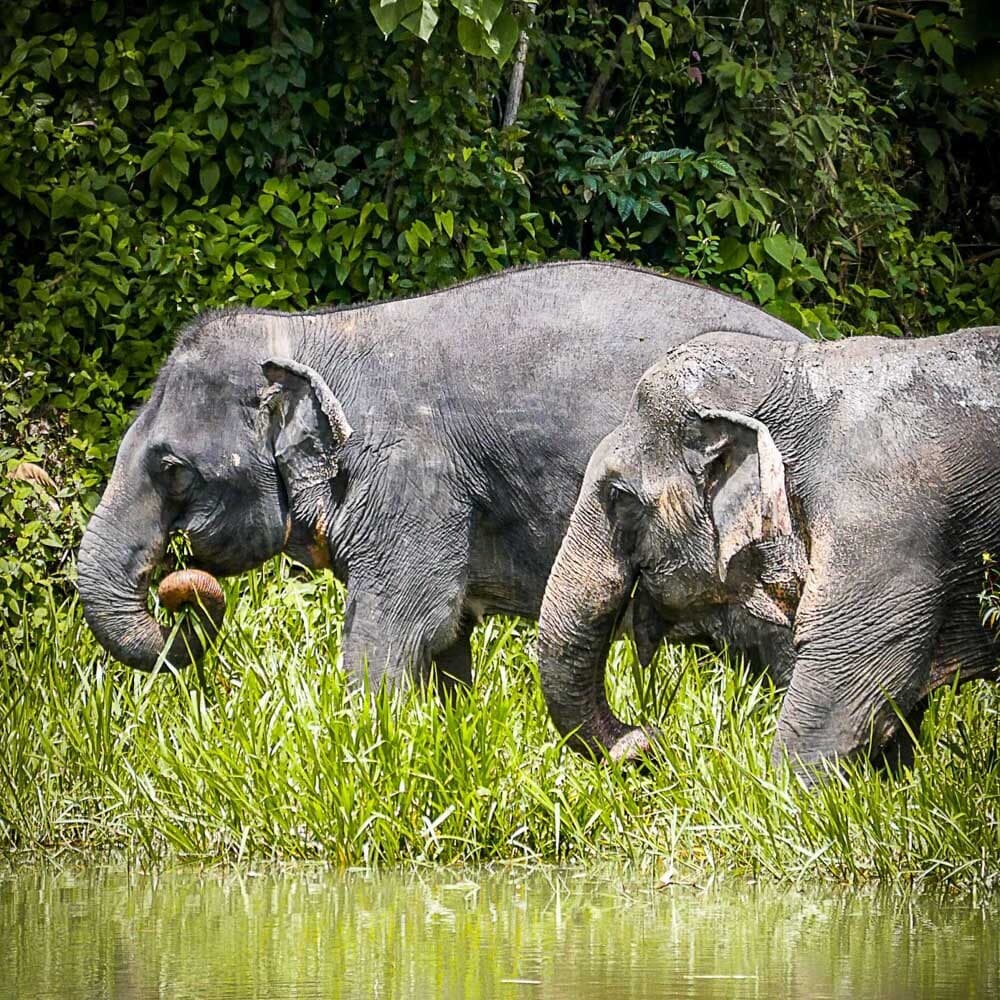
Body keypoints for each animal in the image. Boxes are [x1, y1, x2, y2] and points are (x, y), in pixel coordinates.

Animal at [77, 261, 805, 687]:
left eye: (172, 469)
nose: (179, 590)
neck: (312, 334)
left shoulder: (411, 478)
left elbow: (405, 625)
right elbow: (447, 636)